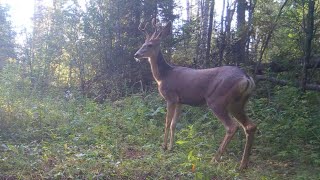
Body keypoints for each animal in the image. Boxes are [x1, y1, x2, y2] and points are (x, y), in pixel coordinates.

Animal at [134, 19, 258, 169]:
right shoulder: (180, 101)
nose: (136, 54)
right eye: (143, 44)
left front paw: (163, 146)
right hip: (237, 103)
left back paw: (215, 159)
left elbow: (167, 122)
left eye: (150, 45)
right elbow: (174, 124)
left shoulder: (171, 97)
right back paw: (242, 165)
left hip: (217, 100)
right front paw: (171, 147)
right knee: (250, 126)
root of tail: (246, 78)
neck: (163, 76)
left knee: (232, 126)